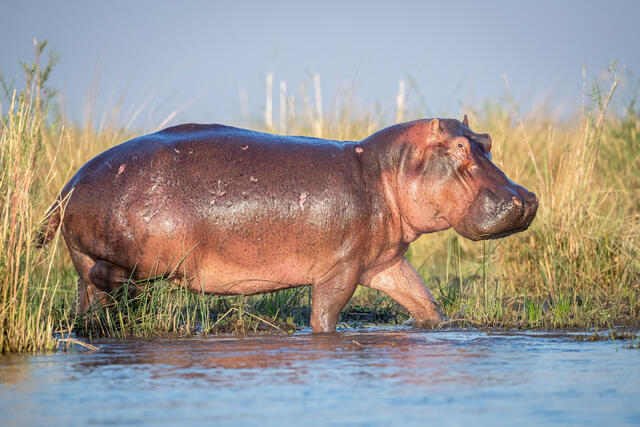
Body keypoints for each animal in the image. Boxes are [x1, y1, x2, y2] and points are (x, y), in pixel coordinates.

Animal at [38, 117, 537, 332]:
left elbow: (425, 303)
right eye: (459, 147)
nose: (526, 198)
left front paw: (441, 327)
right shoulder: (342, 268)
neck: (384, 172)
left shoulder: (385, 262)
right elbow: (325, 317)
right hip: (147, 258)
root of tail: (70, 182)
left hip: (82, 258)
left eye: (487, 140)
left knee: (88, 298)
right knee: (110, 276)